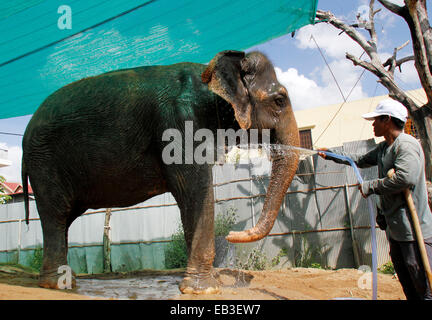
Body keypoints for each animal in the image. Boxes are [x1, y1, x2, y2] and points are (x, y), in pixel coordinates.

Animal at [22, 49, 298, 292]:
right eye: (280, 100)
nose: (231, 234)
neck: (210, 74)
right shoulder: (179, 124)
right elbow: (195, 191)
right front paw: (205, 290)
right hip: (45, 162)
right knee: (57, 215)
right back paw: (59, 284)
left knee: (63, 218)